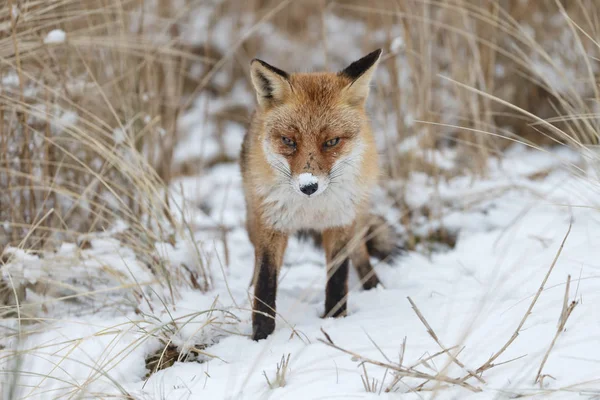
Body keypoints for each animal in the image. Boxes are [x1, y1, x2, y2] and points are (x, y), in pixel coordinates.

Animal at [239, 48, 394, 340]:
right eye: (289, 141)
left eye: (331, 142)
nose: (308, 186)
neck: (311, 209)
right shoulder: (271, 225)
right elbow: (265, 286)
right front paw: (261, 336)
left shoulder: (340, 223)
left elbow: (337, 279)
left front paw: (335, 320)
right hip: (254, 220)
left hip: (357, 215)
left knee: (361, 254)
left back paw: (375, 287)